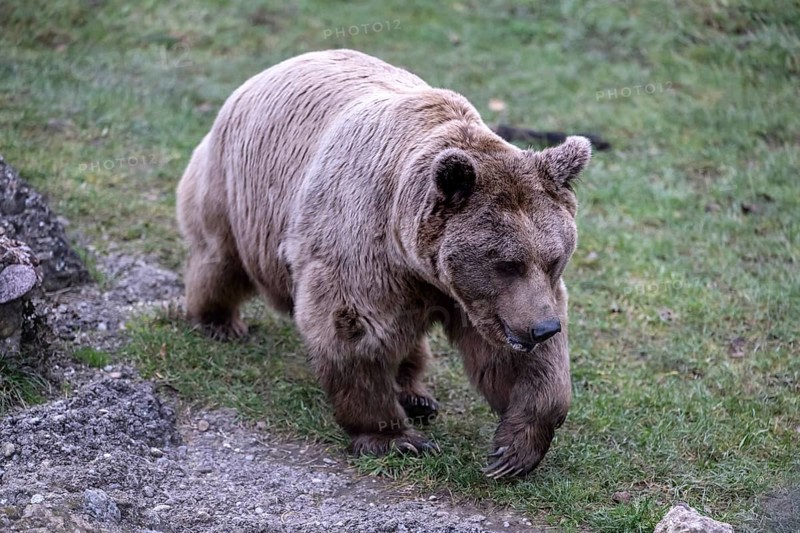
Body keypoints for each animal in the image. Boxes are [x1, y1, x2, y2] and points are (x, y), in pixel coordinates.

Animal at [176, 49, 591, 478]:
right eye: (508, 263)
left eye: (554, 259)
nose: (542, 328)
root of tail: (273, 68)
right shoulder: (363, 250)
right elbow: (354, 331)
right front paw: (394, 438)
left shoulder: (478, 299)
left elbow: (517, 360)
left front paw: (513, 449)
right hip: (237, 191)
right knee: (220, 259)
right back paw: (219, 321)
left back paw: (416, 395)